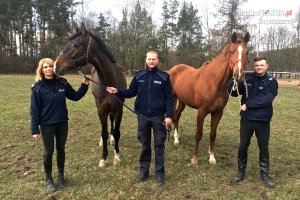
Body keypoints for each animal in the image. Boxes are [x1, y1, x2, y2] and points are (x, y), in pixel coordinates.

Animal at [53, 22, 126, 168]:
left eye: (76, 44)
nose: (56, 66)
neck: (109, 80)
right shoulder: (101, 109)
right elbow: (104, 132)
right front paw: (104, 158)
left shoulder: (119, 109)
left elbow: (117, 132)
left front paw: (116, 156)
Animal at [170, 32, 250, 165]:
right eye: (232, 51)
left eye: (247, 52)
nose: (238, 75)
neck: (213, 82)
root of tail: (173, 69)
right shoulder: (201, 112)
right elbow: (198, 134)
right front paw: (194, 159)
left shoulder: (218, 112)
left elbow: (213, 134)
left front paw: (212, 158)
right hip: (173, 98)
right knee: (174, 116)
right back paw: (175, 140)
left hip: (182, 101)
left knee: (177, 115)